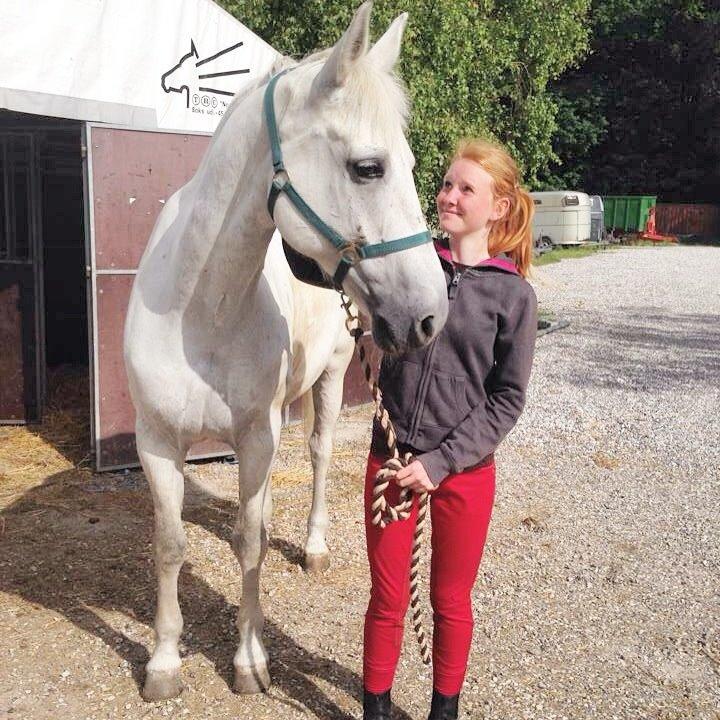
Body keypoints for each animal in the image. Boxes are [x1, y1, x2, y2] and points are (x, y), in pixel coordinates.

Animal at [124, 1, 448, 702]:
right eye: (368, 167)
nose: (431, 315)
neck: (199, 312)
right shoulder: (156, 441)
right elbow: (170, 545)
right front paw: (163, 664)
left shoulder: (255, 434)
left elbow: (248, 545)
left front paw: (249, 660)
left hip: (324, 383)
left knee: (319, 456)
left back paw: (314, 545)